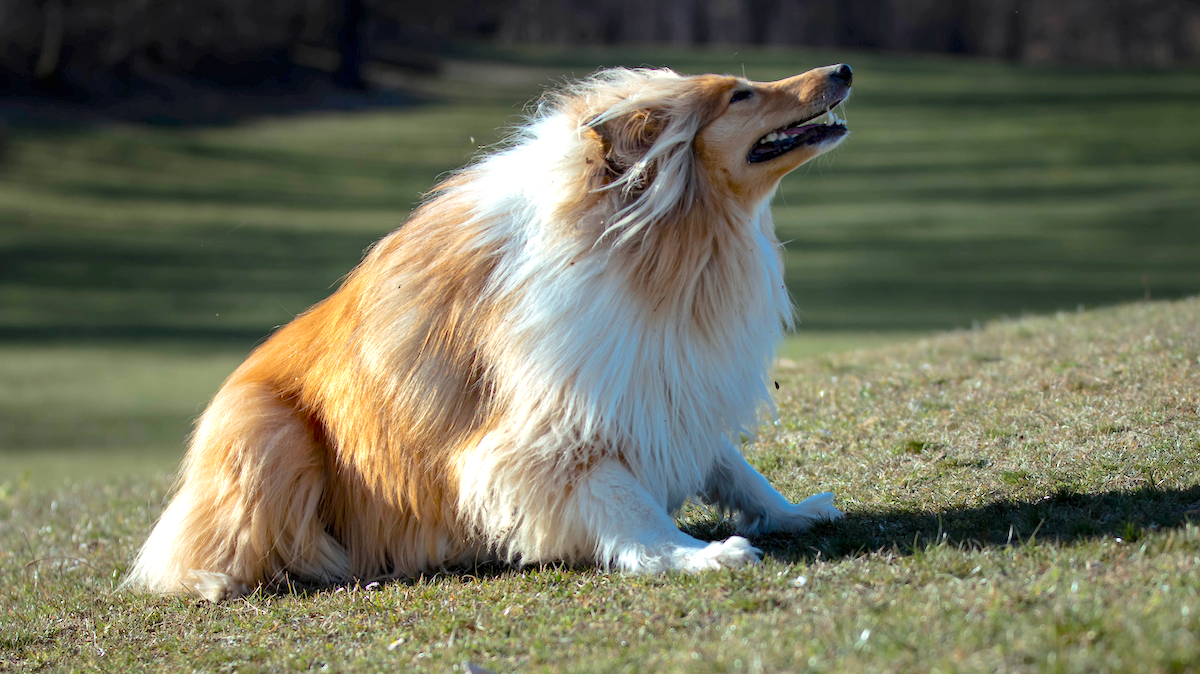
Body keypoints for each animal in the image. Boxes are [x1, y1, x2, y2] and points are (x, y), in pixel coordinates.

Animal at [124, 62, 854, 597]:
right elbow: (628, 505)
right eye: (740, 95)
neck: (657, 240)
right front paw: (698, 555)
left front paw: (794, 510)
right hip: (265, 429)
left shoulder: (662, 383)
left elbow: (732, 466)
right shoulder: (544, 429)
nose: (842, 68)